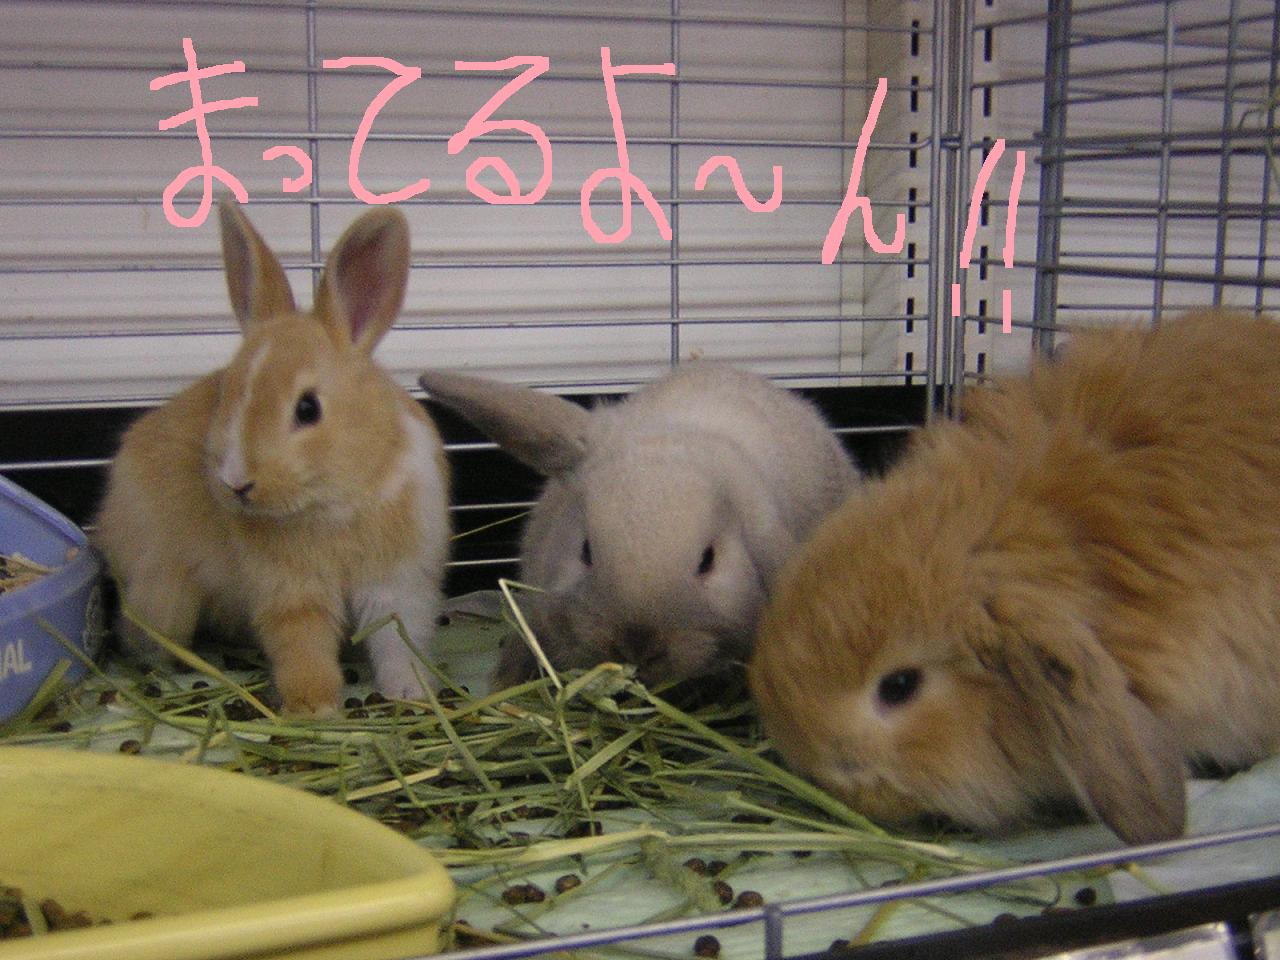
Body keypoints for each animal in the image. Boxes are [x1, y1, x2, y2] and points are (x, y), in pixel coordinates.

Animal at [94, 199, 450, 716]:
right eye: (226, 393)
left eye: (308, 408)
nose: (236, 482)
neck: (335, 504)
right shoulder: (289, 592)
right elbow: (303, 648)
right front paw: (315, 708)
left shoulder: (398, 582)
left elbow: (397, 641)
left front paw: (411, 694)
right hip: (163, 596)